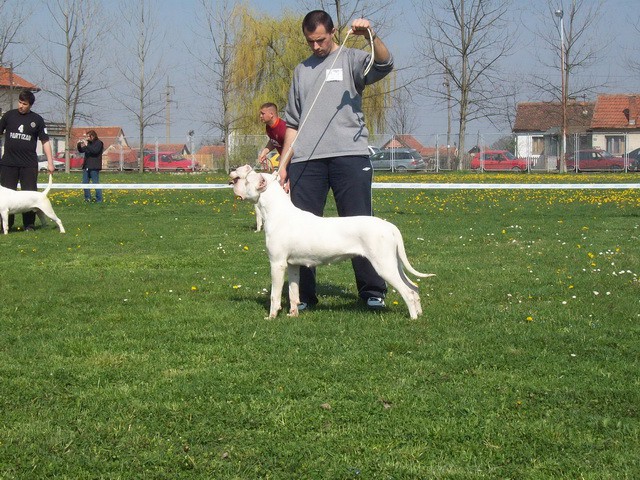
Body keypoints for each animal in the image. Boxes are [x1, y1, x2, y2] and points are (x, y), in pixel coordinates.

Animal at [230, 164, 436, 318]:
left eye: (246, 180)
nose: (235, 170)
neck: (278, 212)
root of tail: (390, 227)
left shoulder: (277, 264)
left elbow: (275, 295)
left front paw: (272, 316)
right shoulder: (293, 265)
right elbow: (294, 291)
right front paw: (293, 314)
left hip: (384, 265)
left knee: (407, 292)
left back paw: (412, 318)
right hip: (394, 264)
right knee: (413, 287)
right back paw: (419, 313)